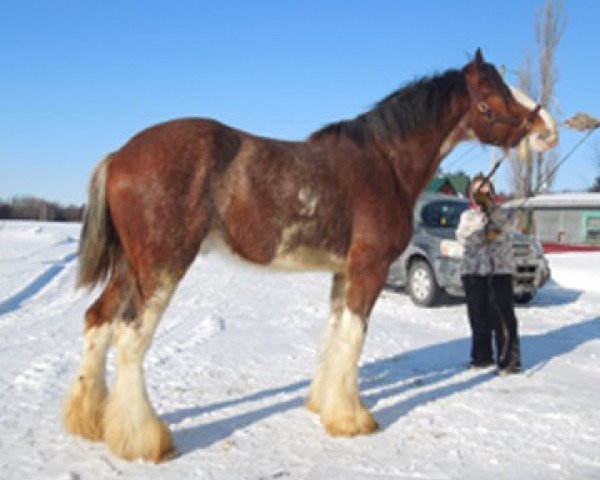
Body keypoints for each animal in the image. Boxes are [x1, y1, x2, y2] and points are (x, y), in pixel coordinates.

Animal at [63, 50, 556, 464]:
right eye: (493, 95)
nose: (547, 128)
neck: (385, 163)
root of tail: (120, 155)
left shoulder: (343, 273)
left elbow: (334, 335)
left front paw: (325, 405)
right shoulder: (369, 269)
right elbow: (354, 337)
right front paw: (352, 419)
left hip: (130, 268)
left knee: (97, 320)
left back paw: (89, 421)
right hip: (161, 268)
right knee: (130, 337)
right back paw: (144, 439)